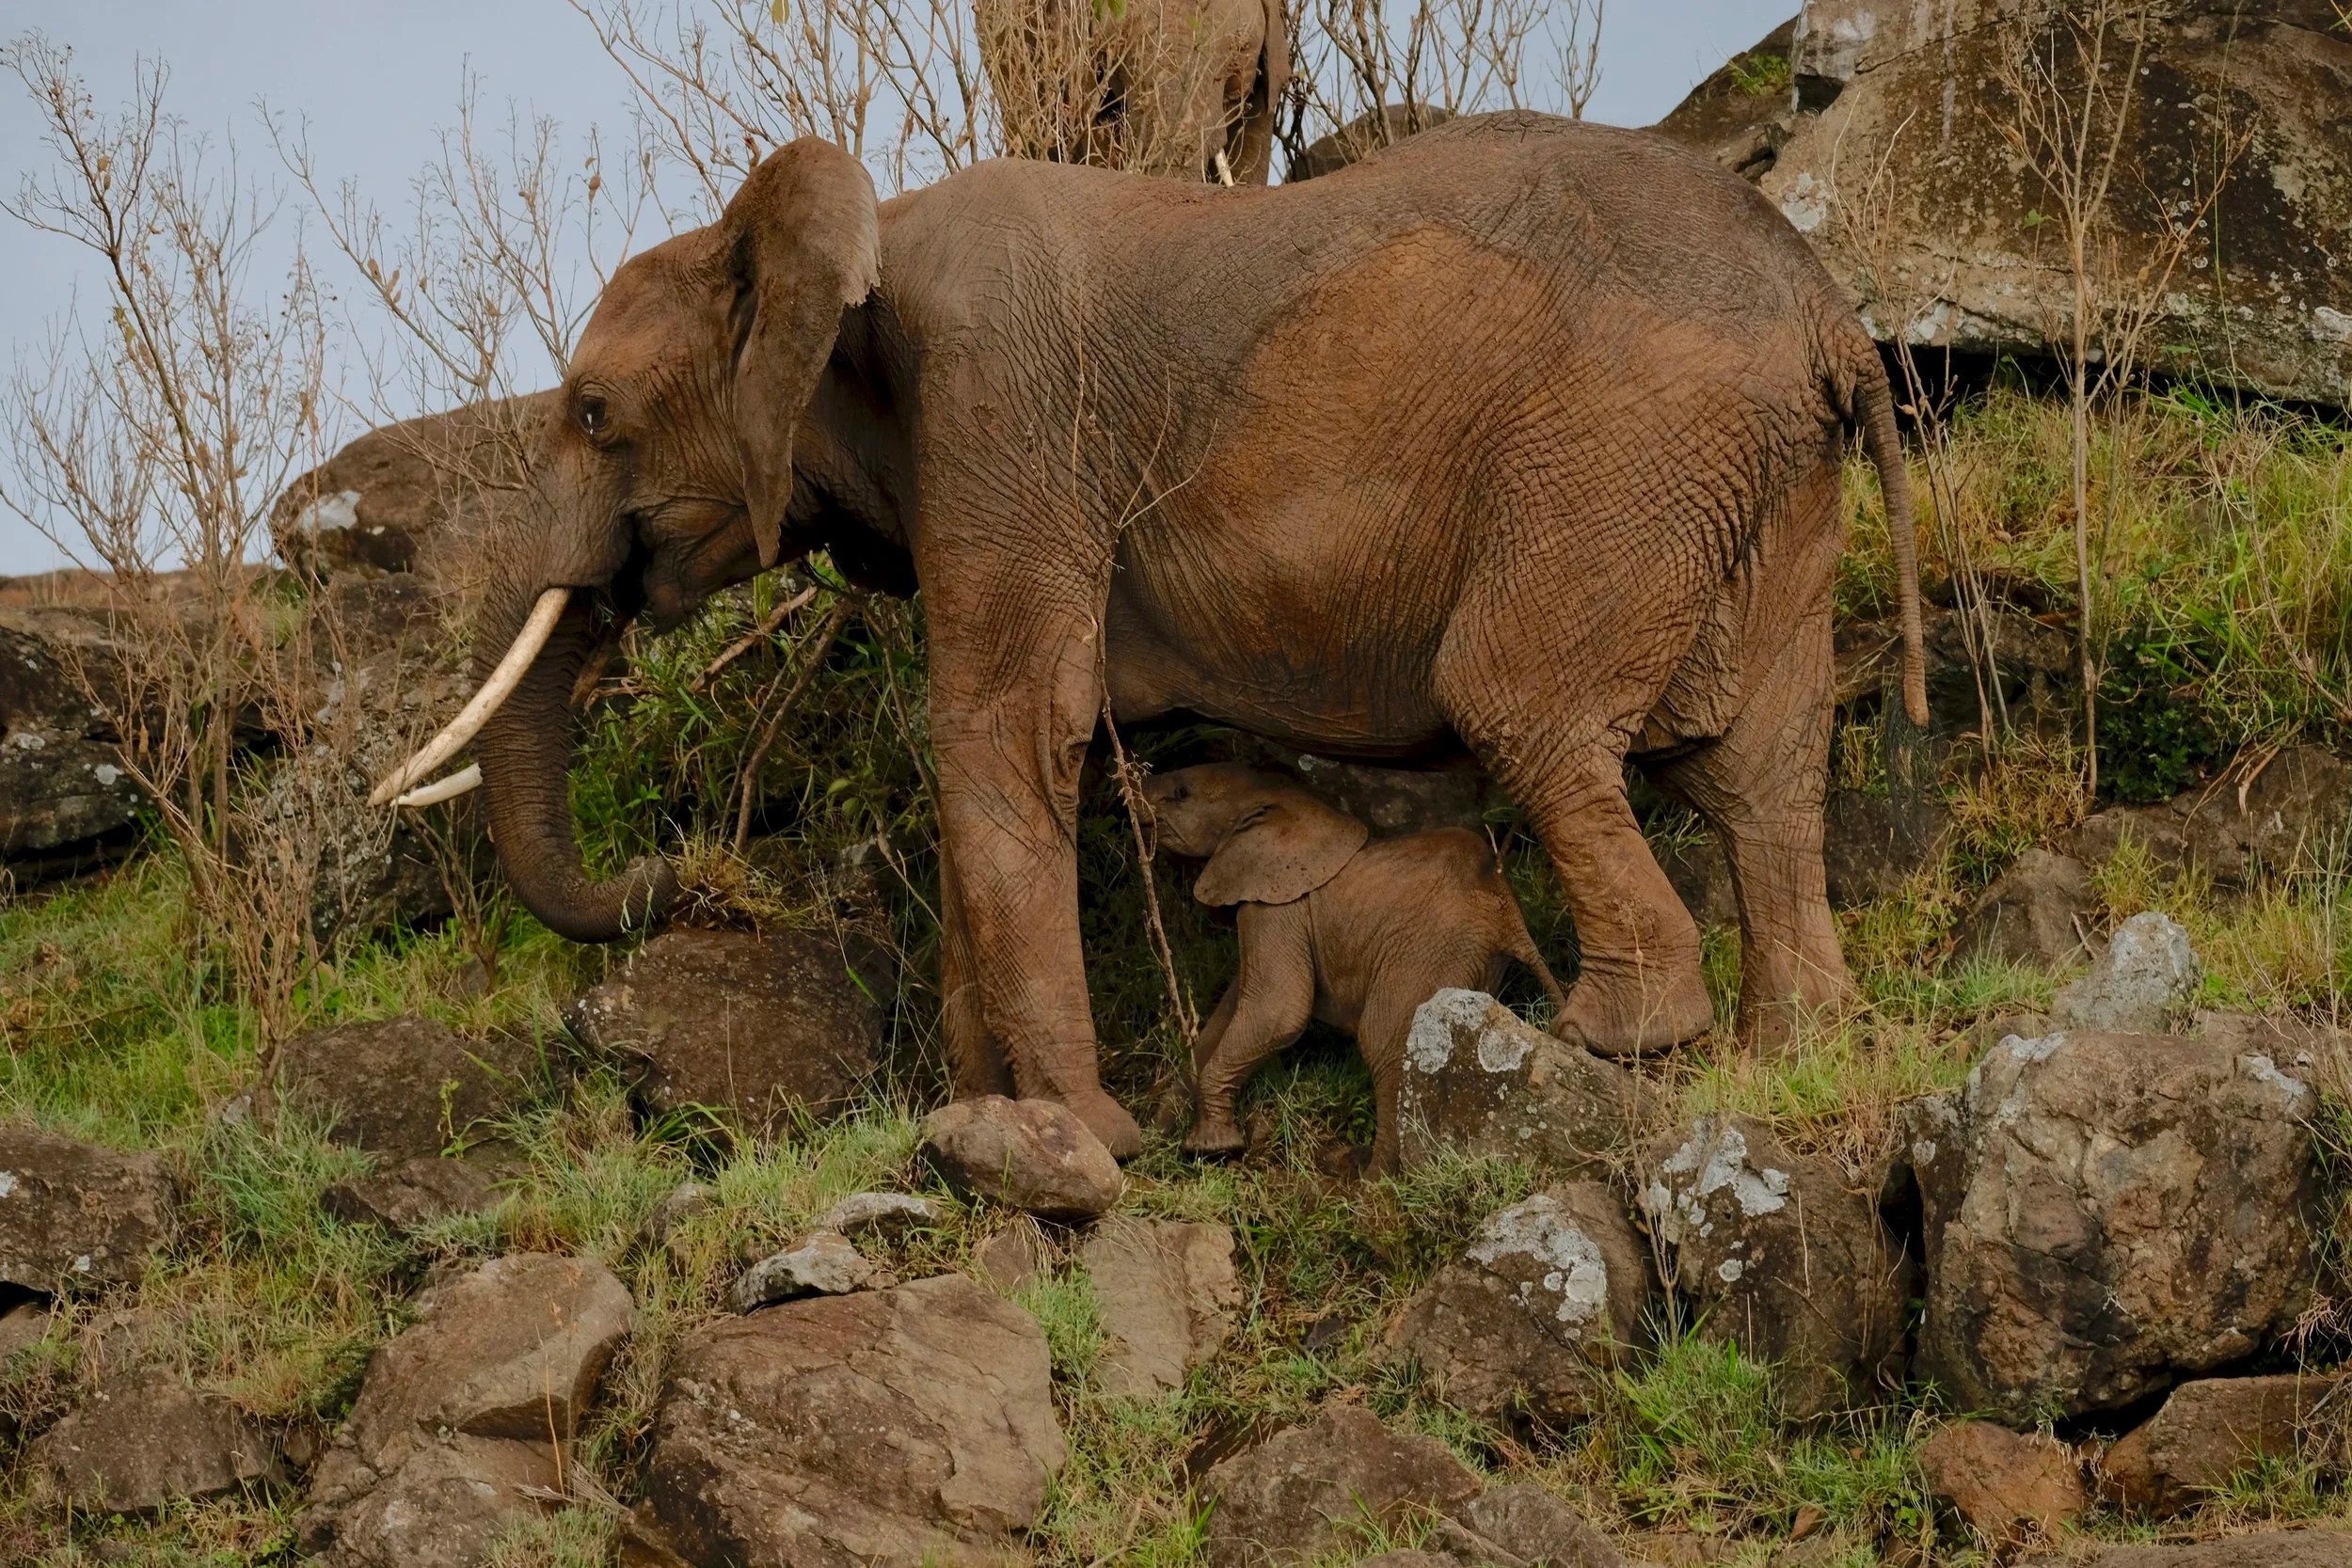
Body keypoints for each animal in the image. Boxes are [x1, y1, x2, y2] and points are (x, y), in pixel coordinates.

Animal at [1144, 762, 1565, 1173]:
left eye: (1181, 792)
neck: (1270, 795)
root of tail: (1506, 912)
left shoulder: (1278, 907)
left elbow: (1278, 1013)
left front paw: (1212, 1149)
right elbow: (1231, 1011)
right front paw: (1163, 1131)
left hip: (1426, 952)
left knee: (1387, 1045)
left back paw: (1373, 1182)